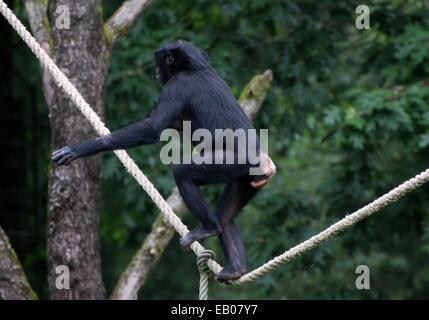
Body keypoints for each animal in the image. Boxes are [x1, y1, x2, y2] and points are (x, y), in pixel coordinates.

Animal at [52, 40, 274, 280]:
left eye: (159, 62)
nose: (155, 71)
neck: (194, 67)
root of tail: (266, 165)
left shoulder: (177, 86)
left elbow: (153, 127)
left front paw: (82, 147)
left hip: (236, 164)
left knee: (183, 173)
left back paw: (208, 229)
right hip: (246, 181)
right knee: (225, 216)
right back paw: (235, 268)